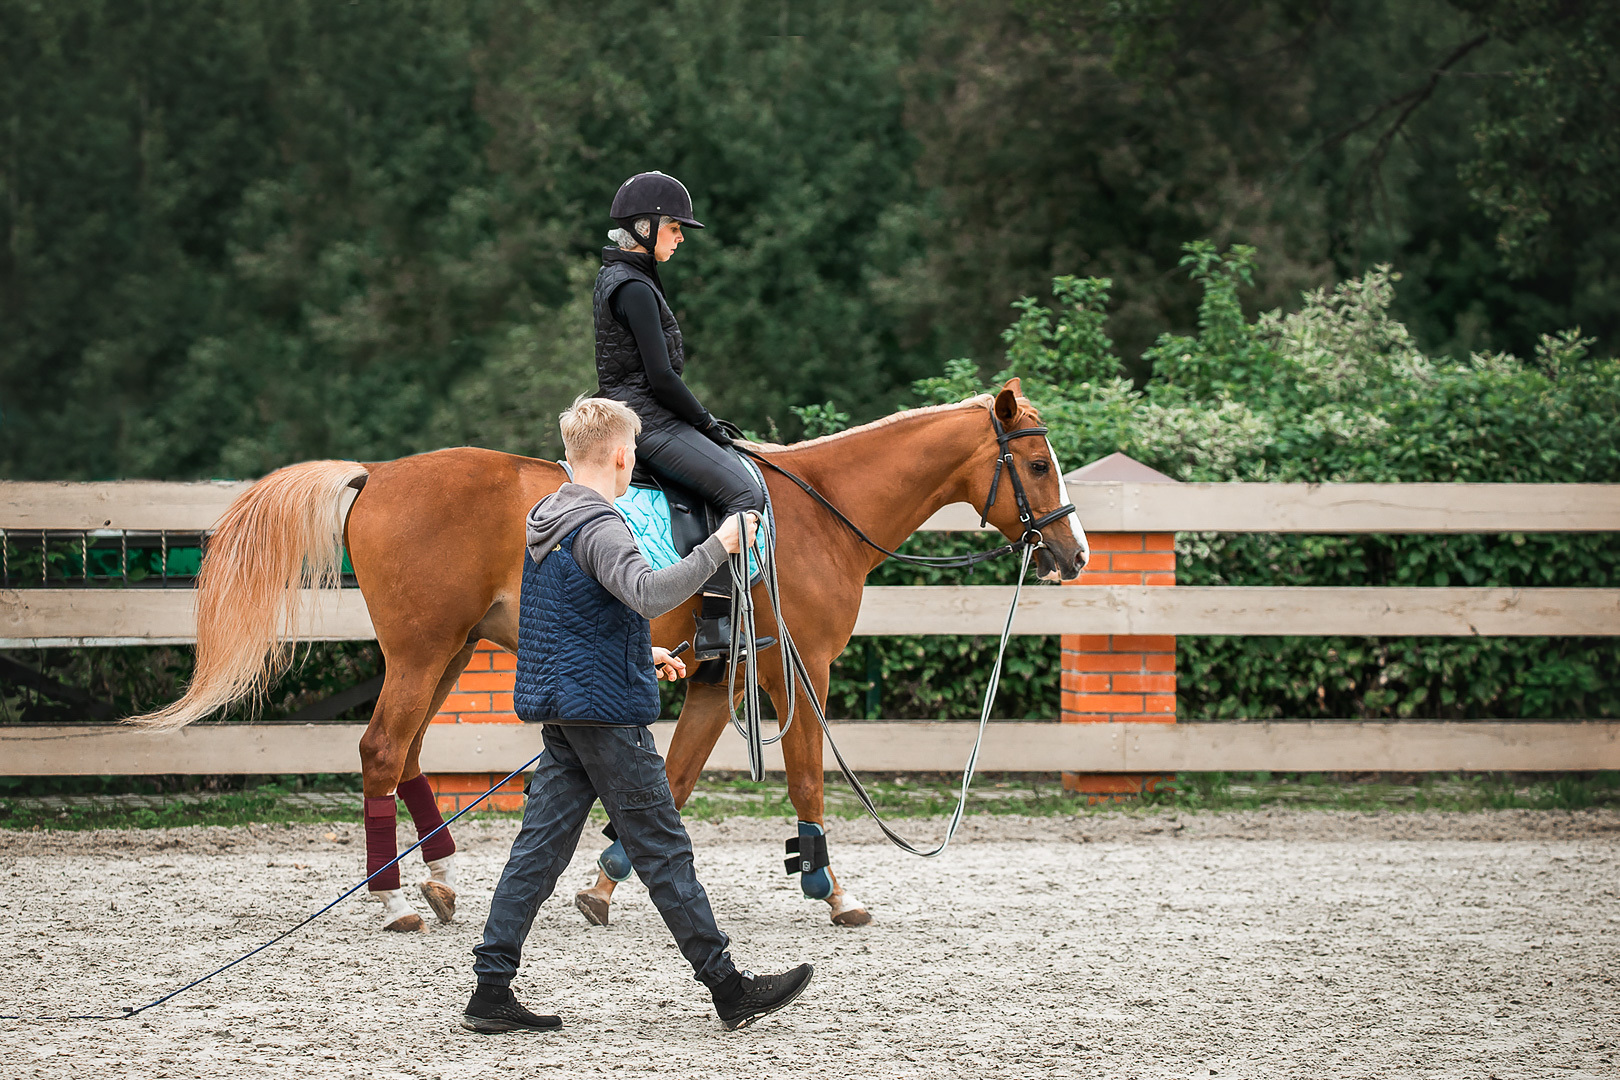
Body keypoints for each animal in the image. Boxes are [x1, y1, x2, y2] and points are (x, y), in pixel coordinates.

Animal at [129, 380, 1088, 932]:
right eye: (1039, 463)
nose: (1073, 553)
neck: (817, 513)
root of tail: (381, 473)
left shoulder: (716, 679)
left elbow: (677, 778)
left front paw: (604, 881)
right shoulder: (798, 673)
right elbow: (810, 778)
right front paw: (831, 887)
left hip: (447, 652)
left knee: (404, 755)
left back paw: (439, 882)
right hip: (423, 651)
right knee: (379, 751)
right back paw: (396, 899)